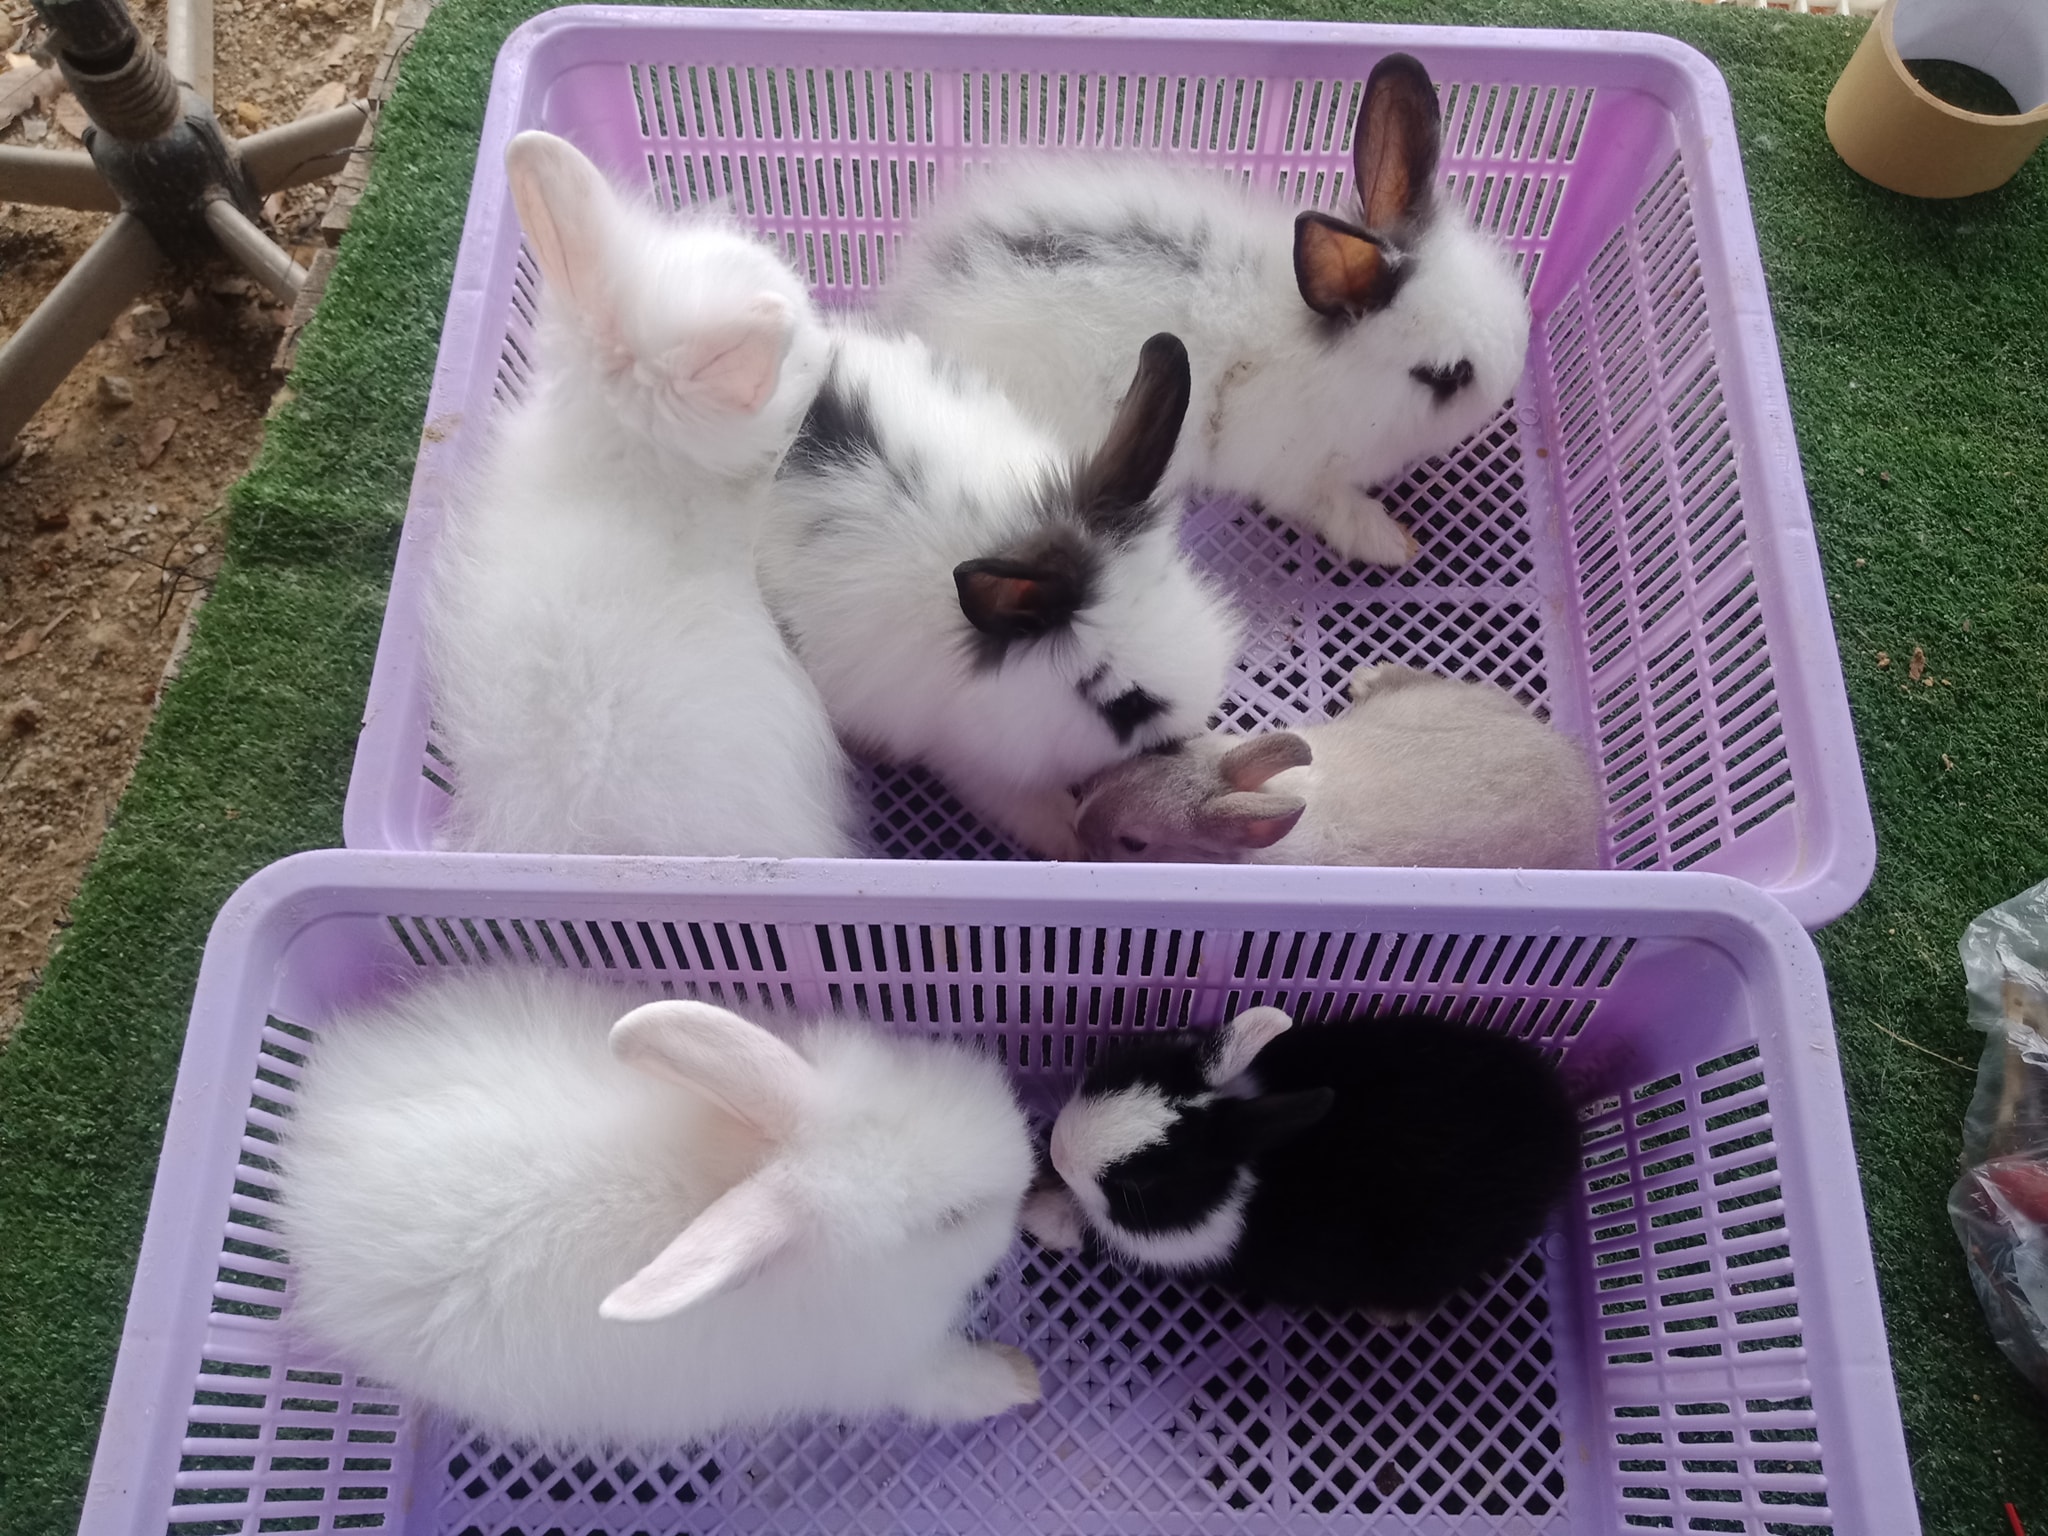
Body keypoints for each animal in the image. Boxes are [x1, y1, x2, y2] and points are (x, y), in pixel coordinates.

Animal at [280, 969, 1041, 1448]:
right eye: (951, 1219)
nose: (1027, 1170)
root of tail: (308, 1179)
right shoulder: (878, 1366)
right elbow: (942, 1386)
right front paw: (1016, 1380)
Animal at [881, 52, 1531, 569]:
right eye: (1444, 375)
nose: (1506, 390)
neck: (1333, 373)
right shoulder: (1296, 477)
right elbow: (1335, 509)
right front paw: (1394, 543)